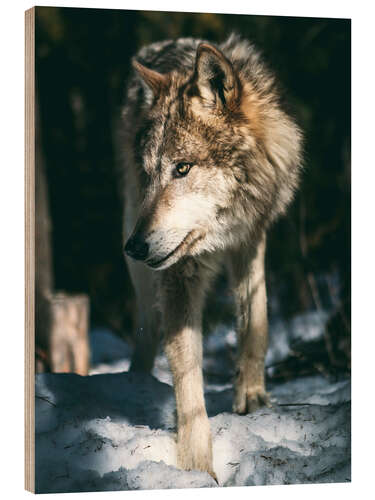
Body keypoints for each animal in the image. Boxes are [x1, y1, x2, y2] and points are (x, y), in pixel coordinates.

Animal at [119, 34, 304, 480]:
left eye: (183, 168)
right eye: (150, 173)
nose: (135, 246)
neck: (220, 231)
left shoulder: (251, 238)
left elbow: (256, 321)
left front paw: (252, 398)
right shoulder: (178, 272)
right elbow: (187, 377)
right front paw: (196, 467)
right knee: (147, 326)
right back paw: (134, 382)